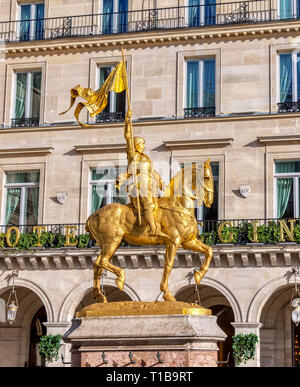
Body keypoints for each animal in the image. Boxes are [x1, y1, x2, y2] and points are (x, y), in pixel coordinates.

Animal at [85, 160, 214, 304]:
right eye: (206, 178)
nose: (210, 200)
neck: (179, 206)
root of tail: (92, 216)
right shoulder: (174, 242)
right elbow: (168, 265)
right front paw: (167, 293)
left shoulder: (188, 242)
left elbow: (209, 251)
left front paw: (198, 275)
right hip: (112, 241)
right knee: (102, 261)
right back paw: (120, 278)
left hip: (109, 244)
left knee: (97, 264)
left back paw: (100, 296)